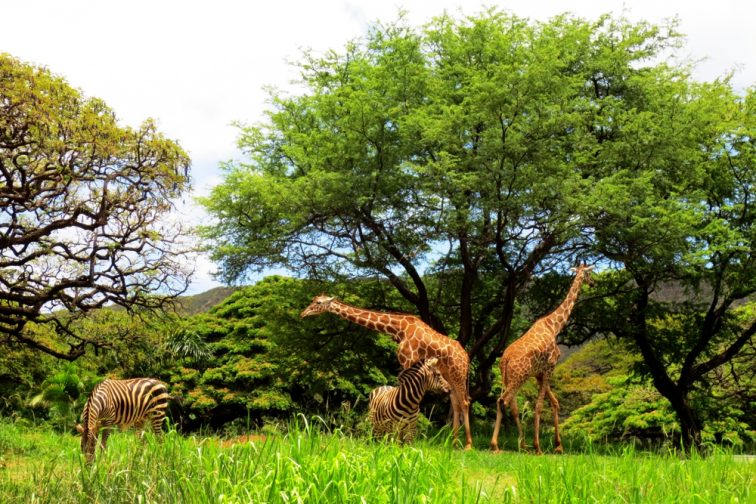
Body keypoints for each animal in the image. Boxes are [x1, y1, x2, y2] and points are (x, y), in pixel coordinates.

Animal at [302, 296, 472, 448]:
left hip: (458, 373)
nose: (303, 313)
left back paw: (468, 445)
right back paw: (453, 443)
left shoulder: (408, 358)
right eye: (313, 300)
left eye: (318, 302)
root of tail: (466, 356)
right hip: (449, 375)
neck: (399, 328)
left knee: (464, 402)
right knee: (455, 402)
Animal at [490, 266, 596, 454]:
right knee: (503, 401)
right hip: (519, 377)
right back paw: (497, 445)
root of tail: (505, 359)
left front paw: (558, 445)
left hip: (509, 378)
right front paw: (538, 446)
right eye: (589, 273)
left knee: (510, 404)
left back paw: (520, 444)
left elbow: (554, 402)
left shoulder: (539, 374)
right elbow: (539, 406)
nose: (593, 283)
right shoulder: (550, 367)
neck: (554, 326)